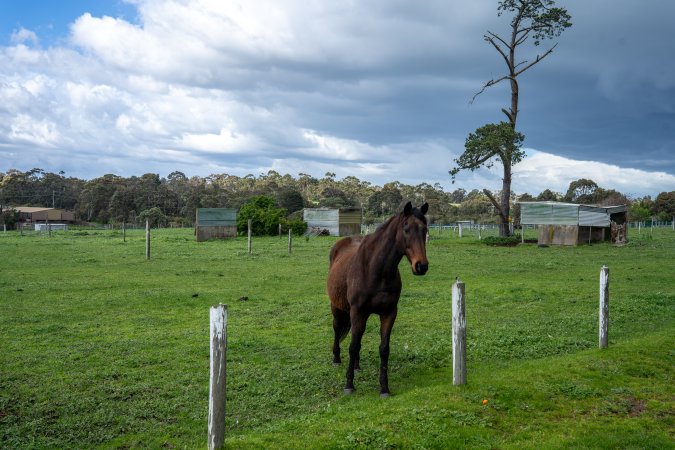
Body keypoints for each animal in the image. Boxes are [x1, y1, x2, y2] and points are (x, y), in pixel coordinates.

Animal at [326, 201, 429, 396]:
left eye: (425, 230)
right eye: (406, 229)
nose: (421, 266)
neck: (376, 270)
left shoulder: (389, 313)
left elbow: (383, 349)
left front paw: (384, 387)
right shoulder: (357, 311)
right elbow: (353, 346)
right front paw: (349, 385)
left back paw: (357, 365)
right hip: (338, 307)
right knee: (337, 329)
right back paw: (336, 359)